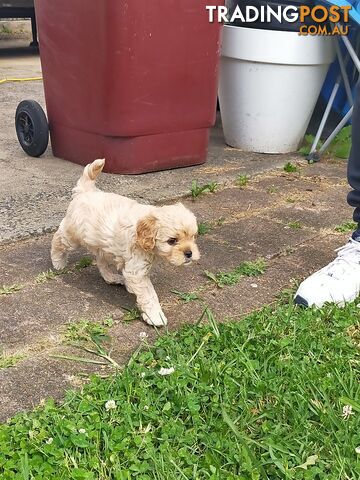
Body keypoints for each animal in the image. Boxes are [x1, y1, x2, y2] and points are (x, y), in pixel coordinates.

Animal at [50, 159, 200, 328]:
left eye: (193, 237)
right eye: (172, 241)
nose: (189, 253)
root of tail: (86, 191)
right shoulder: (137, 270)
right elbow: (149, 294)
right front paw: (155, 316)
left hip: (103, 246)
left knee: (101, 263)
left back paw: (112, 278)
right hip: (73, 235)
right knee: (58, 239)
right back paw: (58, 262)